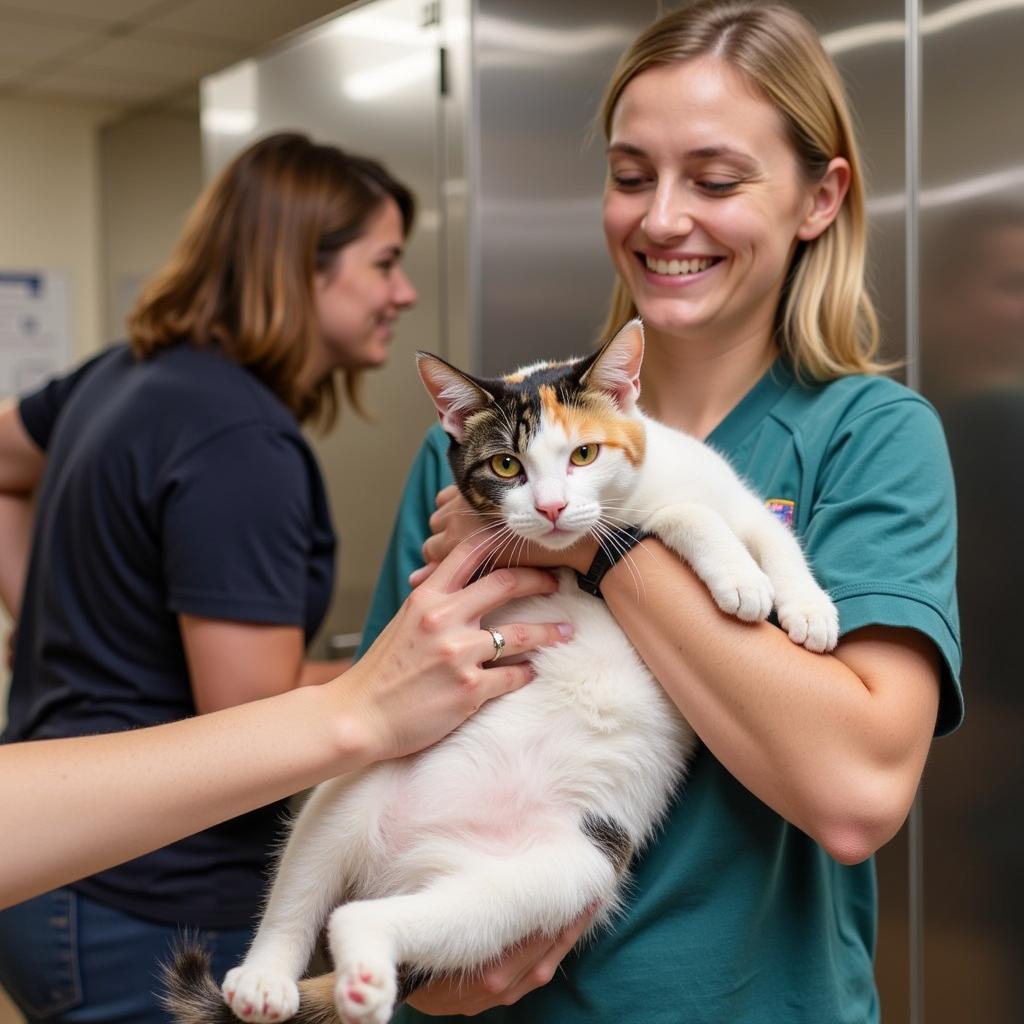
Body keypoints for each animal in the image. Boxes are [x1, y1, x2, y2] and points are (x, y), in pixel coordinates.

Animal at [163, 319, 835, 1024]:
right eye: (507, 466)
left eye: (584, 455)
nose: (552, 509)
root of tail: (404, 862)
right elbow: (687, 517)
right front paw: (739, 578)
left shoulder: (735, 501)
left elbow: (771, 537)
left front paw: (806, 607)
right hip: (353, 793)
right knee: (304, 902)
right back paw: (273, 980)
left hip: (548, 878)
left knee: (405, 917)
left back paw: (361, 975)